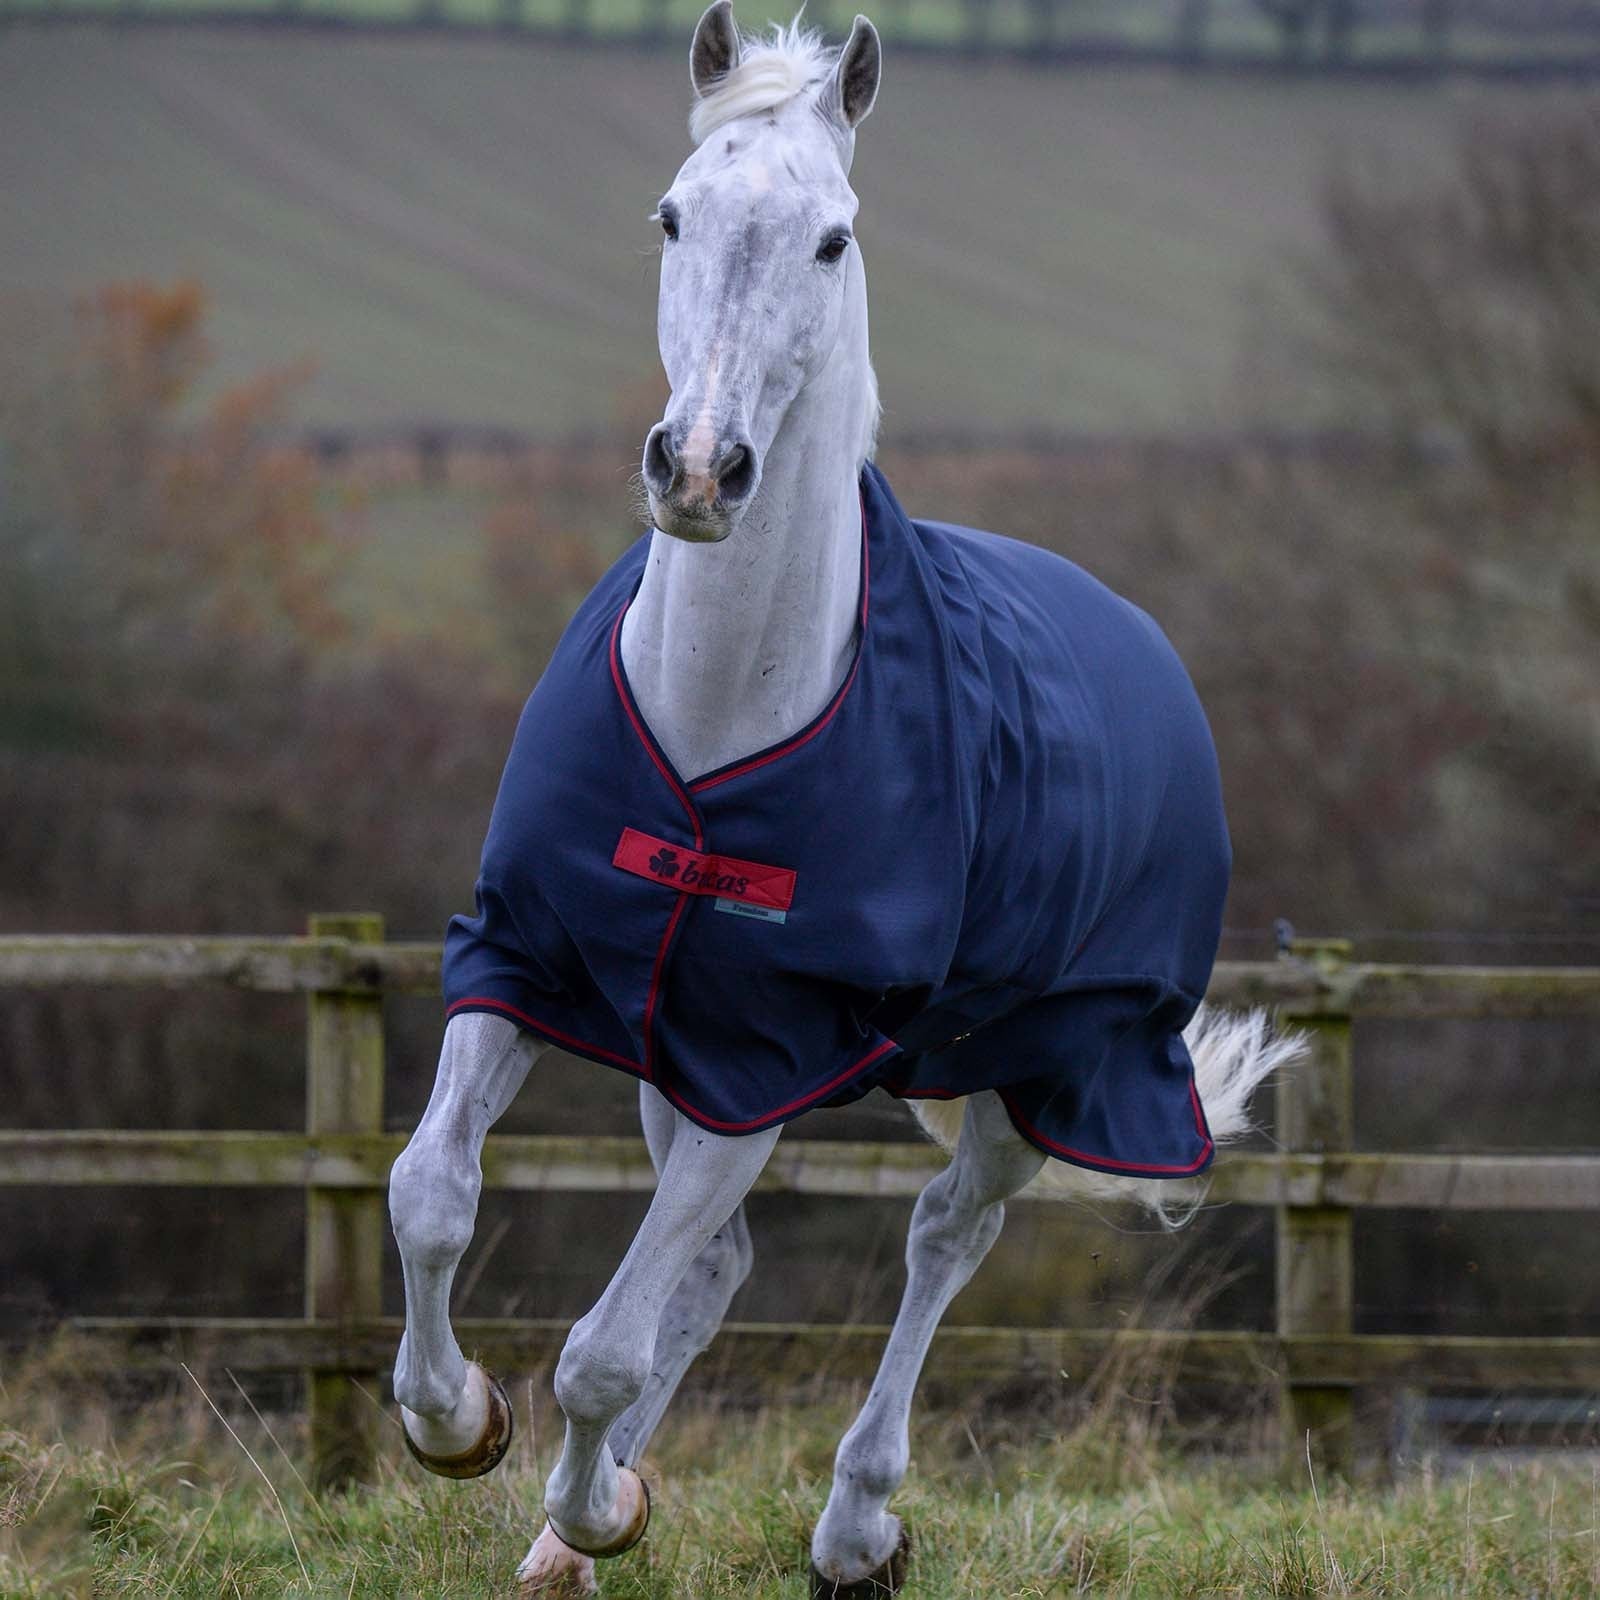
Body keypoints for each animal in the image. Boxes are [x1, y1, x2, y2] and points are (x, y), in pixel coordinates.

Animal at [387, 8, 1300, 1595]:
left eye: (833, 237)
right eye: (672, 214)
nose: (699, 471)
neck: (720, 711)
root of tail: (1133, 631)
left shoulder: (766, 1055)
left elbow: (603, 1348)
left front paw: (590, 1498)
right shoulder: (533, 964)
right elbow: (431, 1191)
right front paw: (466, 1431)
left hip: (1046, 1060)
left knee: (941, 1240)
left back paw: (853, 1524)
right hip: (675, 1057)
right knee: (720, 1265)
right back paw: (580, 1532)